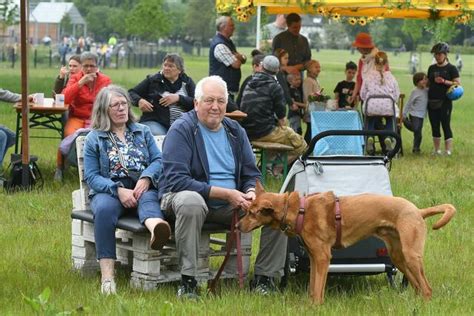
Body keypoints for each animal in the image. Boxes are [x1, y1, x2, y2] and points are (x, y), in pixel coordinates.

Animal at [237, 181, 456, 304]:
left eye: (252, 213)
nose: (237, 226)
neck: (299, 210)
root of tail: (418, 210)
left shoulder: (323, 258)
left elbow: (317, 289)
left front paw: (315, 307)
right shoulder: (314, 259)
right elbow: (312, 287)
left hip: (411, 256)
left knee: (426, 289)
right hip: (398, 257)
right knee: (418, 287)